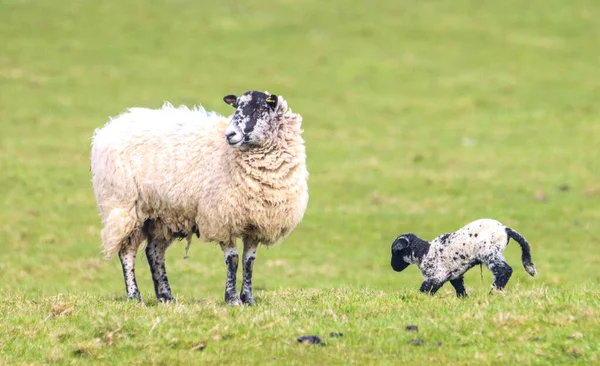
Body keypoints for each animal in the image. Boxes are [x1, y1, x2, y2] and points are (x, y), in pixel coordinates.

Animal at [92, 91, 310, 306]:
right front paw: (232, 299)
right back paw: (134, 296)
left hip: (163, 214)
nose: (230, 134)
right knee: (127, 251)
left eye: (259, 108)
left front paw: (248, 299)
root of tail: (110, 126)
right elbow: (233, 259)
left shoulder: (256, 222)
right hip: (124, 207)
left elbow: (249, 261)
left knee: (154, 252)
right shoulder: (221, 218)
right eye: (236, 106)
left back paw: (166, 296)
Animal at [392, 219, 536, 296]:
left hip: (488, 253)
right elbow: (459, 288)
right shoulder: (454, 275)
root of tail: (505, 229)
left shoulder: (436, 276)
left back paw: (493, 292)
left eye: (394, 251)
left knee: (504, 270)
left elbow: (425, 290)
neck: (423, 252)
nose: (393, 267)